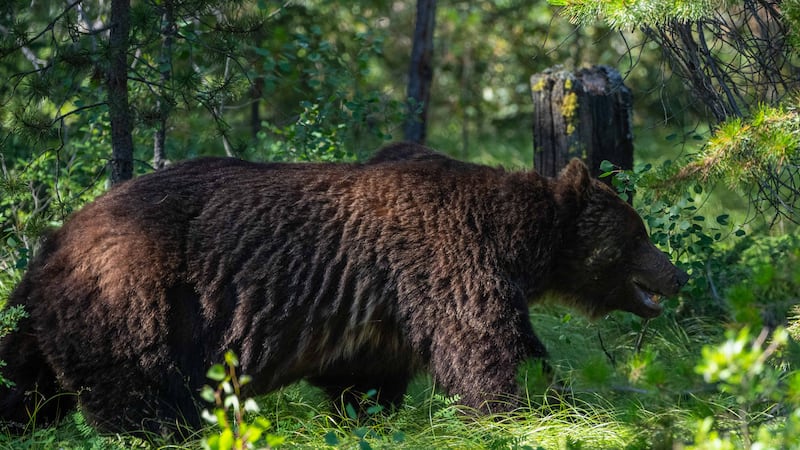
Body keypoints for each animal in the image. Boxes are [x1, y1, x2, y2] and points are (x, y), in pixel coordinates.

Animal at [0, 142, 688, 436]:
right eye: (639, 233)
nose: (676, 273)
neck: (517, 240)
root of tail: (52, 242)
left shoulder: (383, 308)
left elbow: (365, 379)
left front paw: (366, 416)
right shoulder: (449, 264)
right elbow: (495, 351)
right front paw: (549, 406)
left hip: (54, 321)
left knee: (23, 379)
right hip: (136, 302)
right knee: (142, 395)